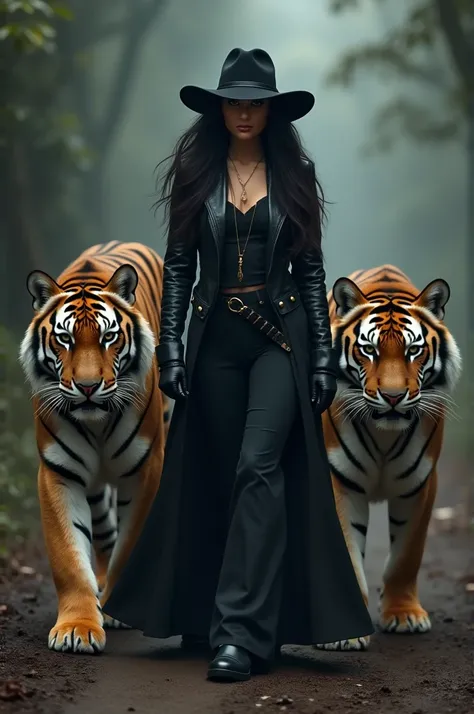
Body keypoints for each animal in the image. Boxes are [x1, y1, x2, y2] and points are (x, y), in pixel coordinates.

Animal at [19, 242, 170, 652]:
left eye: (108, 337)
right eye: (65, 339)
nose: (87, 387)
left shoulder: (146, 471)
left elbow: (130, 545)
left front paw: (121, 608)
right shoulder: (58, 473)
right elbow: (69, 558)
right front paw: (78, 627)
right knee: (102, 533)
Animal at [316, 262, 462, 652]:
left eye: (413, 351)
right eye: (368, 349)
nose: (394, 397)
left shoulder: (421, 483)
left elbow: (406, 556)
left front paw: (404, 615)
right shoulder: (338, 481)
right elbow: (348, 554)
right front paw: (345, 632)